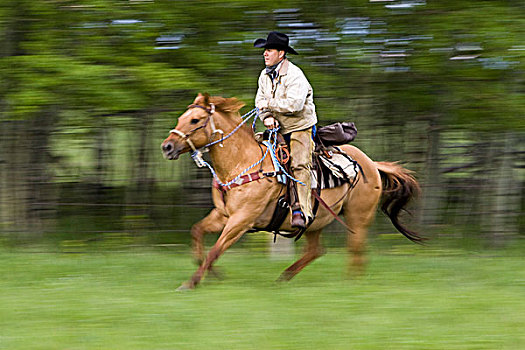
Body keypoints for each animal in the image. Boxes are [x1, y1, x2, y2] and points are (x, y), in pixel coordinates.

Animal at [160, 93, 422, 290]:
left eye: (195, 120)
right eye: (182, 117)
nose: (167, 147)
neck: (242, 162)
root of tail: (372, 165)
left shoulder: (242, 220)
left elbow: (216, 249)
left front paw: (191, 283)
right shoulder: (223, 215)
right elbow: (197, 233)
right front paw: (214, 274)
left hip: (357, 217)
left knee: (356, 251)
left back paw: (350, 284)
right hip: (315, 220)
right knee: (316, 250)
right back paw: (283, 278)